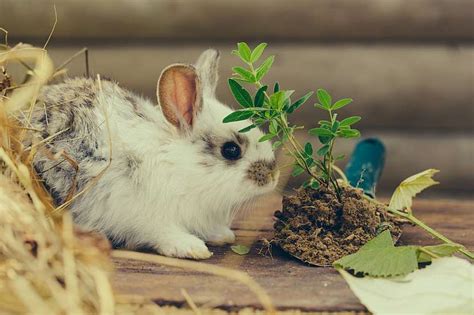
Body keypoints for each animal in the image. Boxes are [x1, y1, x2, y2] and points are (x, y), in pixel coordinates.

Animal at [27, 50, 280, 260]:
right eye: (231, 150)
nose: (273, 175)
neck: (180, 167)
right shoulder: (147, 217)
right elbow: (163, 233)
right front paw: (192, 248)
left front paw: (223, 235)